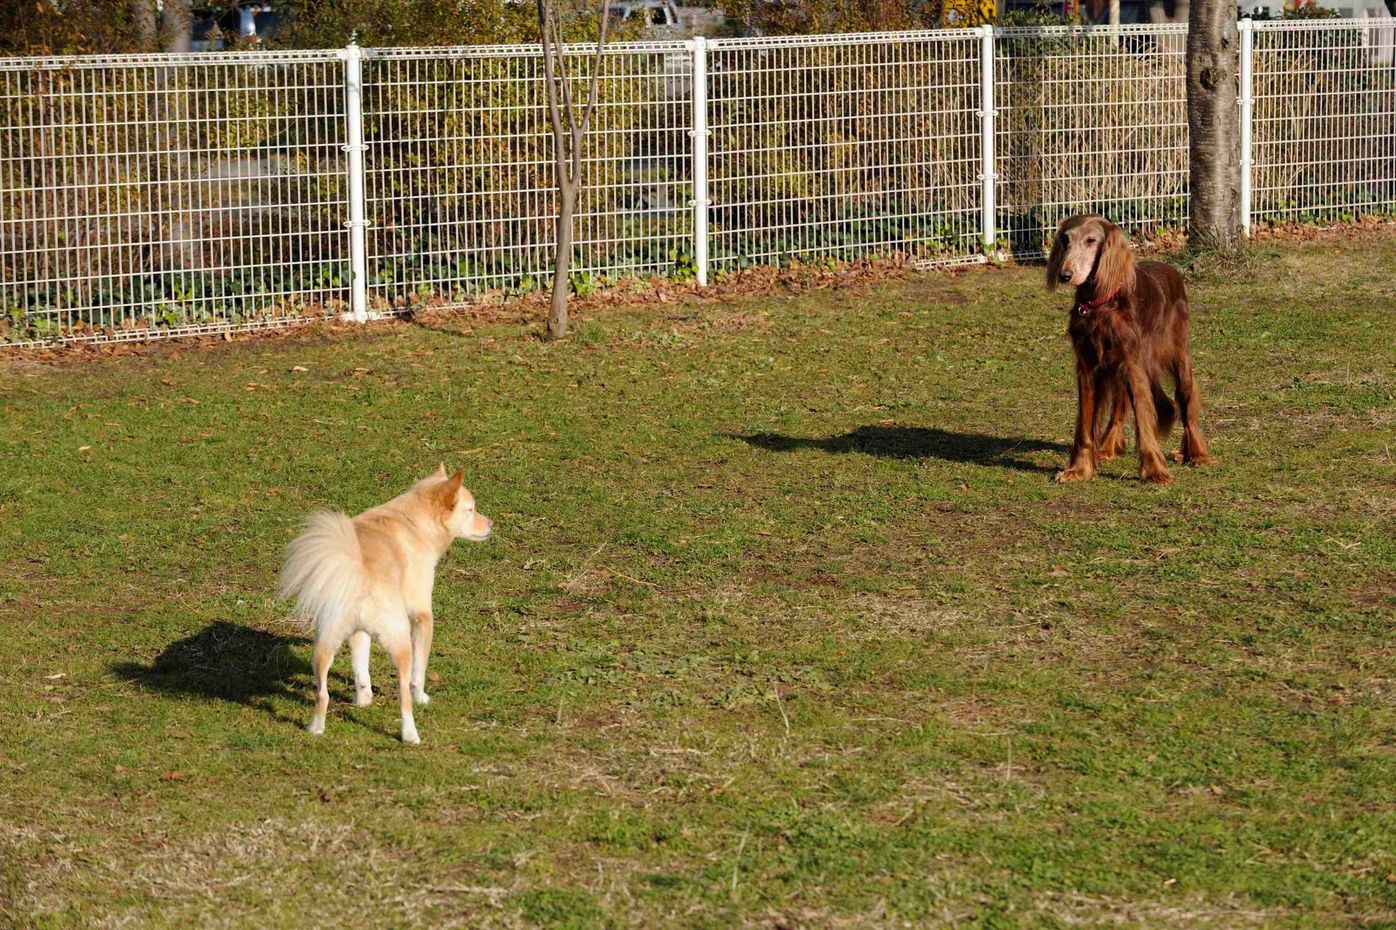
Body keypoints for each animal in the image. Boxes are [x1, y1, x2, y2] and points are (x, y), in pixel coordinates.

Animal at [276, 466, 491, 742]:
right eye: (471, 509)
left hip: (323, 646)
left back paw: (316, 728)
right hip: (401, 644)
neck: (412, 522)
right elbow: (419, 674)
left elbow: (360, 669)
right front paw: (421, 697)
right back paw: (410, 735)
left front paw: (363, 699)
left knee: (322, 694)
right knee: (404, 695)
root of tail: (359, 572)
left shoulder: (359, 634)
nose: (491, 524)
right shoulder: (423, 617)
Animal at [1049, 213, 1211, 480]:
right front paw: (1079, 469)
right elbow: (1085, 426)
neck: (1099, 304)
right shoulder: (1088, 366)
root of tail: (1170, 269)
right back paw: (1108, 447)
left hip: (1177, 356)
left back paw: (1197, 454)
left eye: (1091, 241)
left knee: (1186, 403)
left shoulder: (1133, 365)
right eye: (1066, 239)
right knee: (1122, 407)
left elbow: (1144, 421)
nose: (1065, 275)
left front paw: (1155, 471)